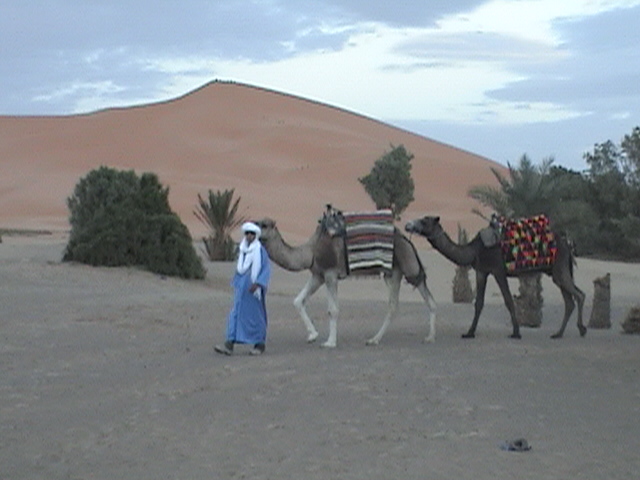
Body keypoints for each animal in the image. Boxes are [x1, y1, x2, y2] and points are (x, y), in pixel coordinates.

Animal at [404, 216, 584, 340]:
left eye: (425, 220)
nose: (408, 225)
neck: (475, 249)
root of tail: (568, 244)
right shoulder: (482, 271)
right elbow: (479, 303)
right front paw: (469, 333)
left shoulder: (498, 270)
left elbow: (508, 300)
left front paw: (516, 333)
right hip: (556, 272)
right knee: (569, 300)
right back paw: (558, 333)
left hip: (559, 267)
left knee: (579, 295)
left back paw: (581, 329)